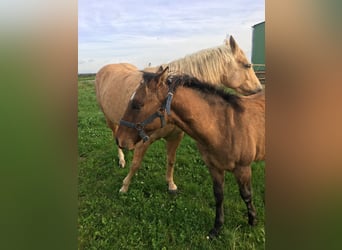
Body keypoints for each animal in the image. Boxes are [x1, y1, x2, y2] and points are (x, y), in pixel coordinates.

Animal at [95, 35, 260, 192]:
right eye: (247, 65)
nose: (259, 89)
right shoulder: (144, 140)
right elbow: (135, 164)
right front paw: (124, 187)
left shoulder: (175, 137)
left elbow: (171, 160)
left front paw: (171, 184)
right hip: (110, 120)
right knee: (115, 136)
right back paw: (122, 159)